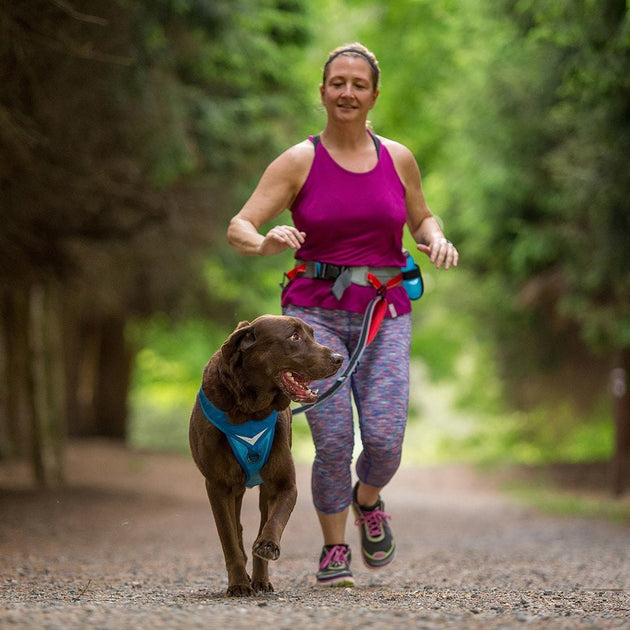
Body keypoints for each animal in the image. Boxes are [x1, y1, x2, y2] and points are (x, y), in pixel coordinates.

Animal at [189, 316, 344, 596]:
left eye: (313, 334)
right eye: (294, 337)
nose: (339, 358)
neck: (250, 410)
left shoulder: (284, 484)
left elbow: (275, 519)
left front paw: (268, 545)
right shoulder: (218, 487)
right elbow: (229, 539)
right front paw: (239, 583)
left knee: (262, 519)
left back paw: (261, 578)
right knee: (237, 530)